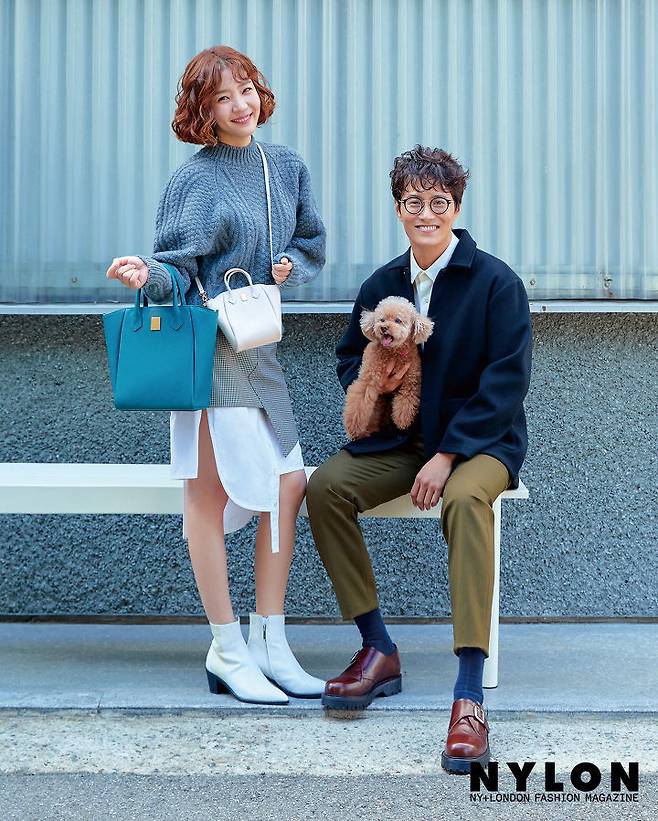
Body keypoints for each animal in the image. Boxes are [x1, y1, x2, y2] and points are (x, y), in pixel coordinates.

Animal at [343, 296, 434, 440]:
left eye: (398, 320)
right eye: (382, 319)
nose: (384, 328)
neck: (394, 352)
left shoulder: (411, 380)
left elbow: (406, 401)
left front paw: (402, 421)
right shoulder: (368, 379)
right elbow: (359, 403)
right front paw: (354, 429)